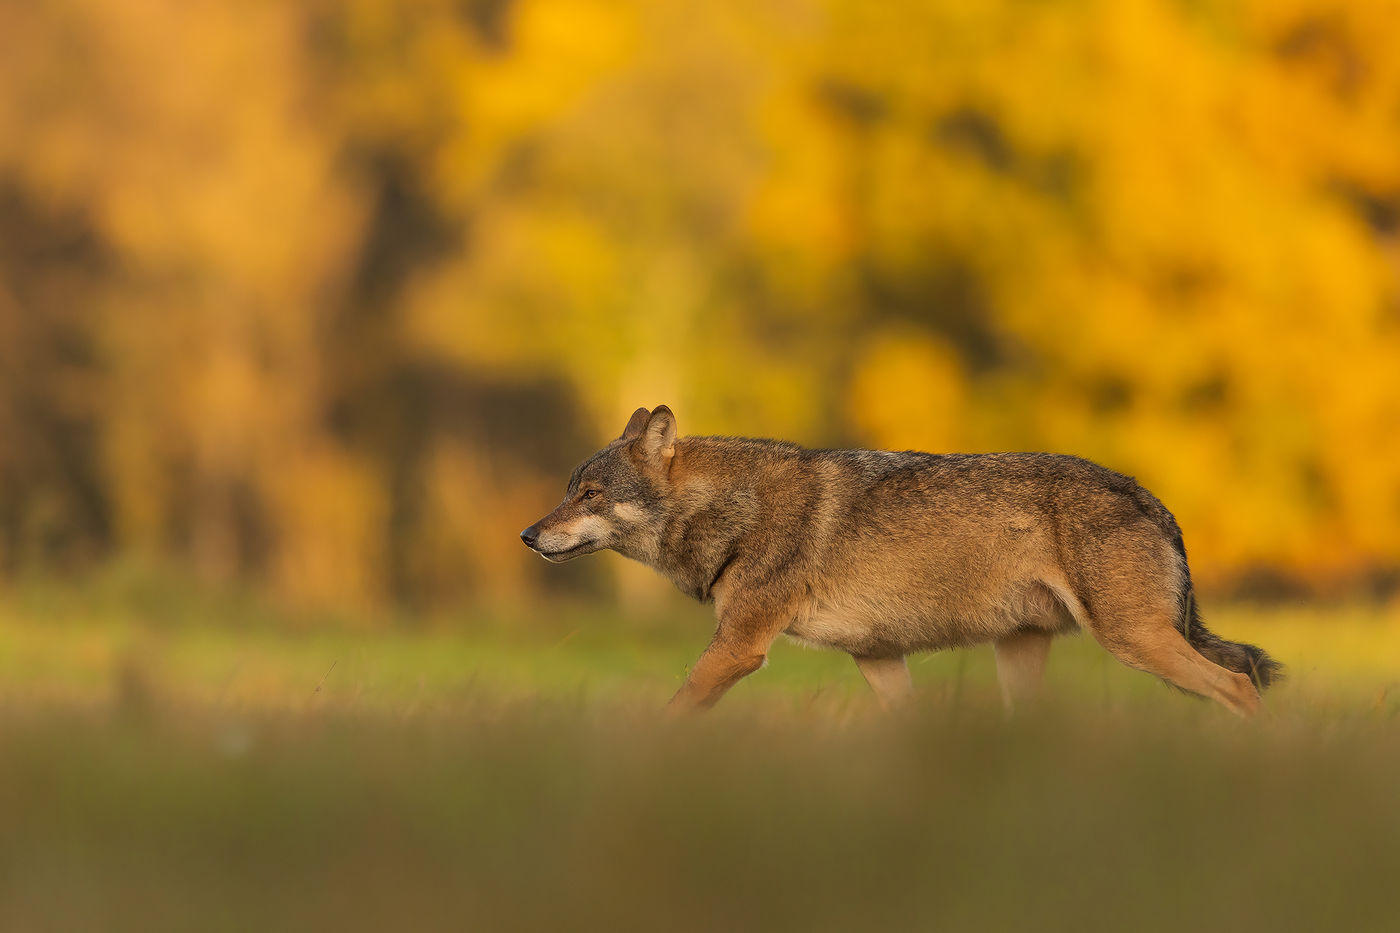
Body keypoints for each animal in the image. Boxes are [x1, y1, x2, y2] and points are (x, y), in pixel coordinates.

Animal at [523, 406, 1282, 711]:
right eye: (568, 490)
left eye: (590, 493)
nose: (529, 535)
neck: (734, 509)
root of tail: (1153, 498)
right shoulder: (878, 657)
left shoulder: (739, 648)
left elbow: (669, 715)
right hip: (1026, 652)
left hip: (1134, 642)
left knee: (1240, 686)